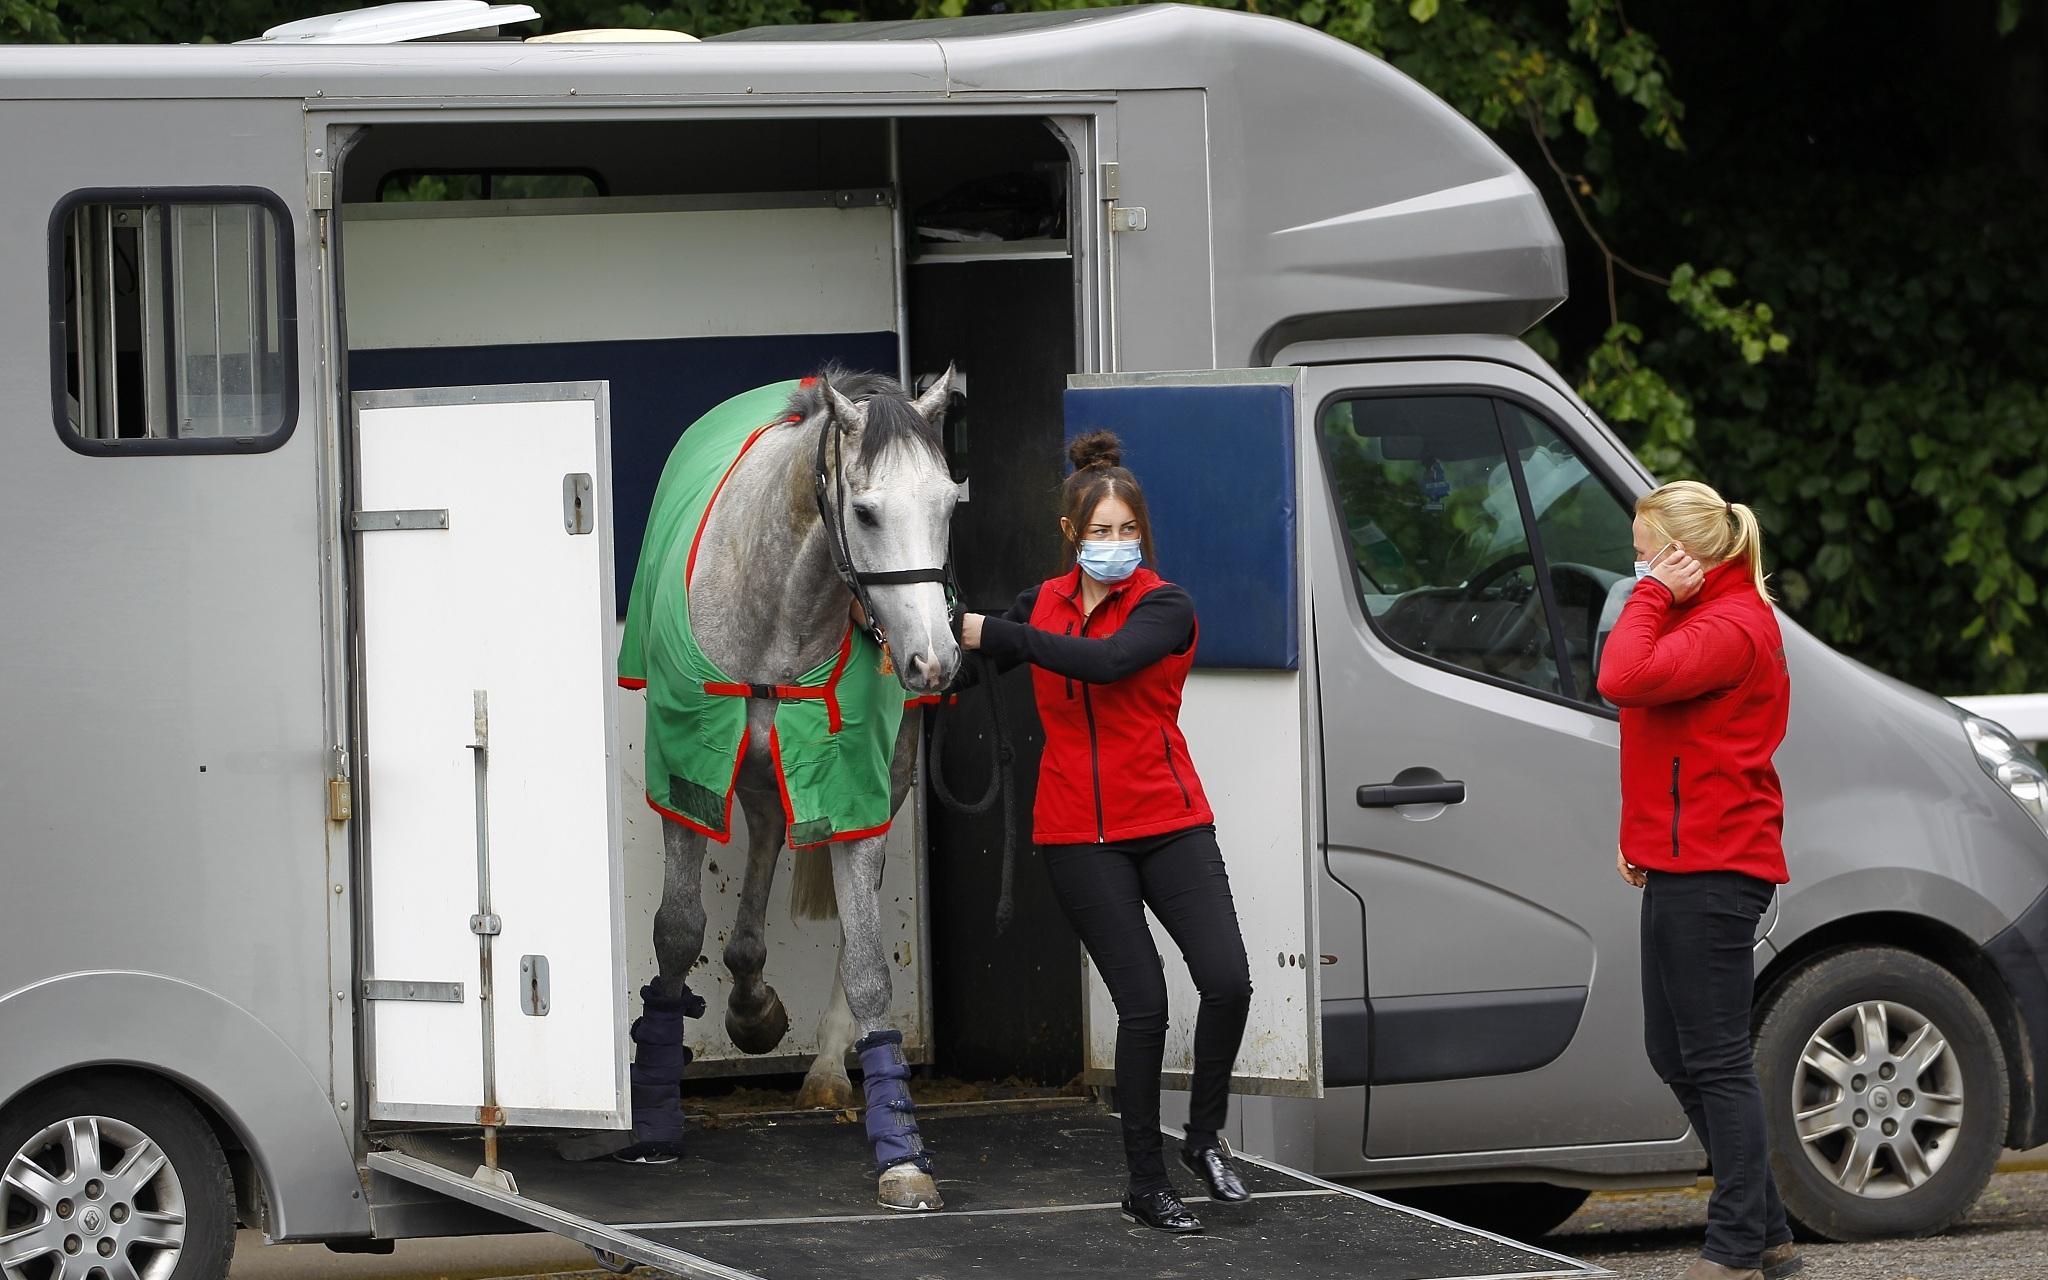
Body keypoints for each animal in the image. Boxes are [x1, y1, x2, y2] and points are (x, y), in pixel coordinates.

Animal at [569, 366, 958, 1204]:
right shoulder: (689, 773)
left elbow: (869, 965)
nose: (934, 661)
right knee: (766, 834)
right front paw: (656, 1115)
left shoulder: (853, 785)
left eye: (949, 503)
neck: (783, 605)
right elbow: (677, 931)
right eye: (866, 511)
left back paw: (818, 1060)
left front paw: (900, 1151)